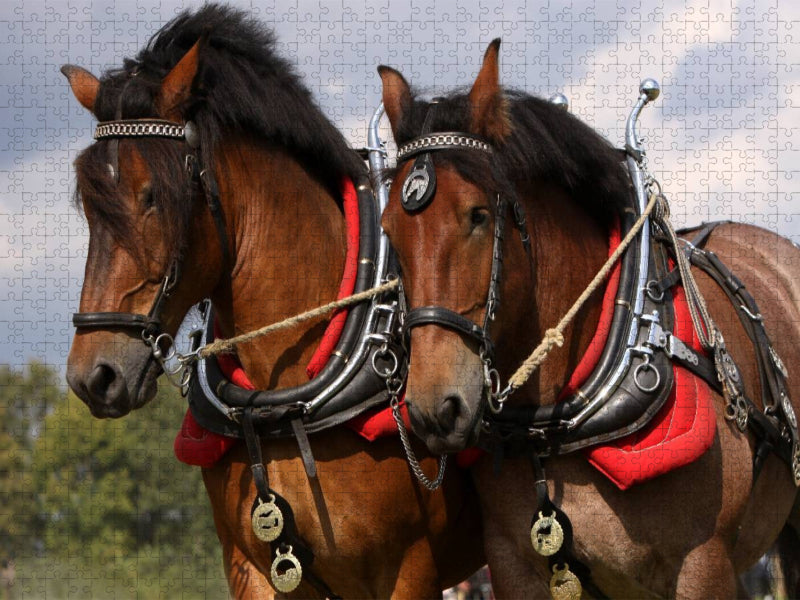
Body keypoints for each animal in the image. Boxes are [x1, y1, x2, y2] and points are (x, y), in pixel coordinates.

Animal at [63, 6, 484, 598]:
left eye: (153, 196)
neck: (280, 407)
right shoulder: (255, 568)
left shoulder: (409, 569)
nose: (93, 374)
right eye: (90, 203)